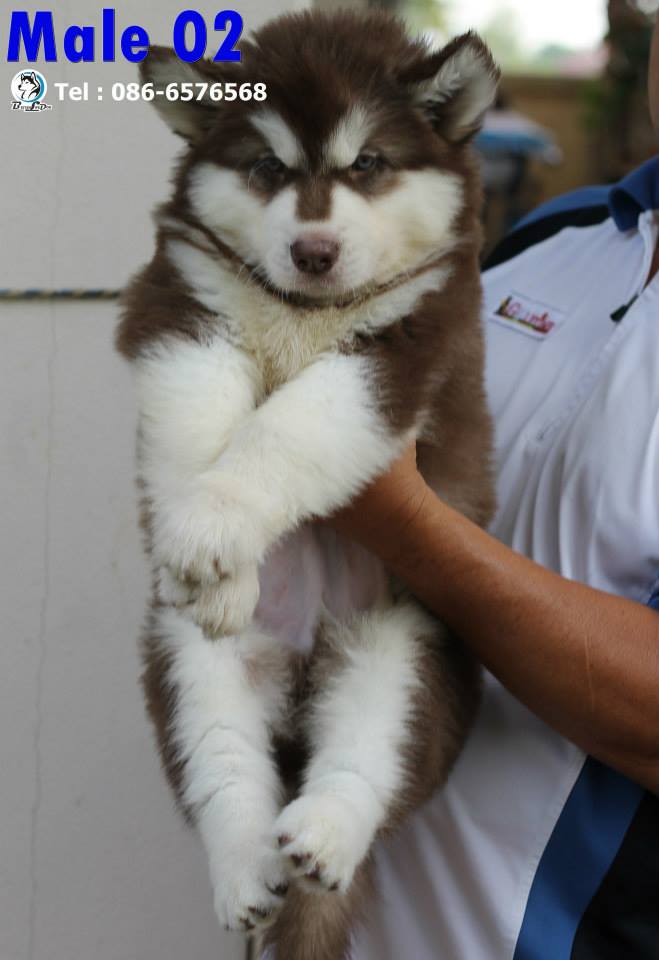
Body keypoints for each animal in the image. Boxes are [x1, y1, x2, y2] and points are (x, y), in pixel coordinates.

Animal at [117, 11, 498, 959]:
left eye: (369, 164)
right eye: (266, 169)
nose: (313, 251)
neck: (306, 314)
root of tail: (301, 663)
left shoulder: (404, 351)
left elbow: (285, 428)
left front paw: (214, 523)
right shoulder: (182, 308)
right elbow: (200, 425)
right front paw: (204, 554)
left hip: (412, 650)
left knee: (371, 750)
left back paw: (324, 836)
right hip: (185, 664)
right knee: (220, 758)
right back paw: (246, 865)